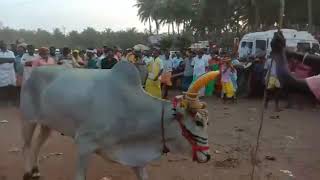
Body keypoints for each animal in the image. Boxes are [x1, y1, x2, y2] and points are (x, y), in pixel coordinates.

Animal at [20, 61, 215, 179]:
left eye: (208, 123)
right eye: (198, 122)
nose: (207, 156)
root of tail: (34, 71)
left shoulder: (136, 158)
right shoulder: (84, 144)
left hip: (47, 124)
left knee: (37, 144)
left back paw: (36, 170)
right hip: (28, 119)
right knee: (26, 145)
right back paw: (27, 172)